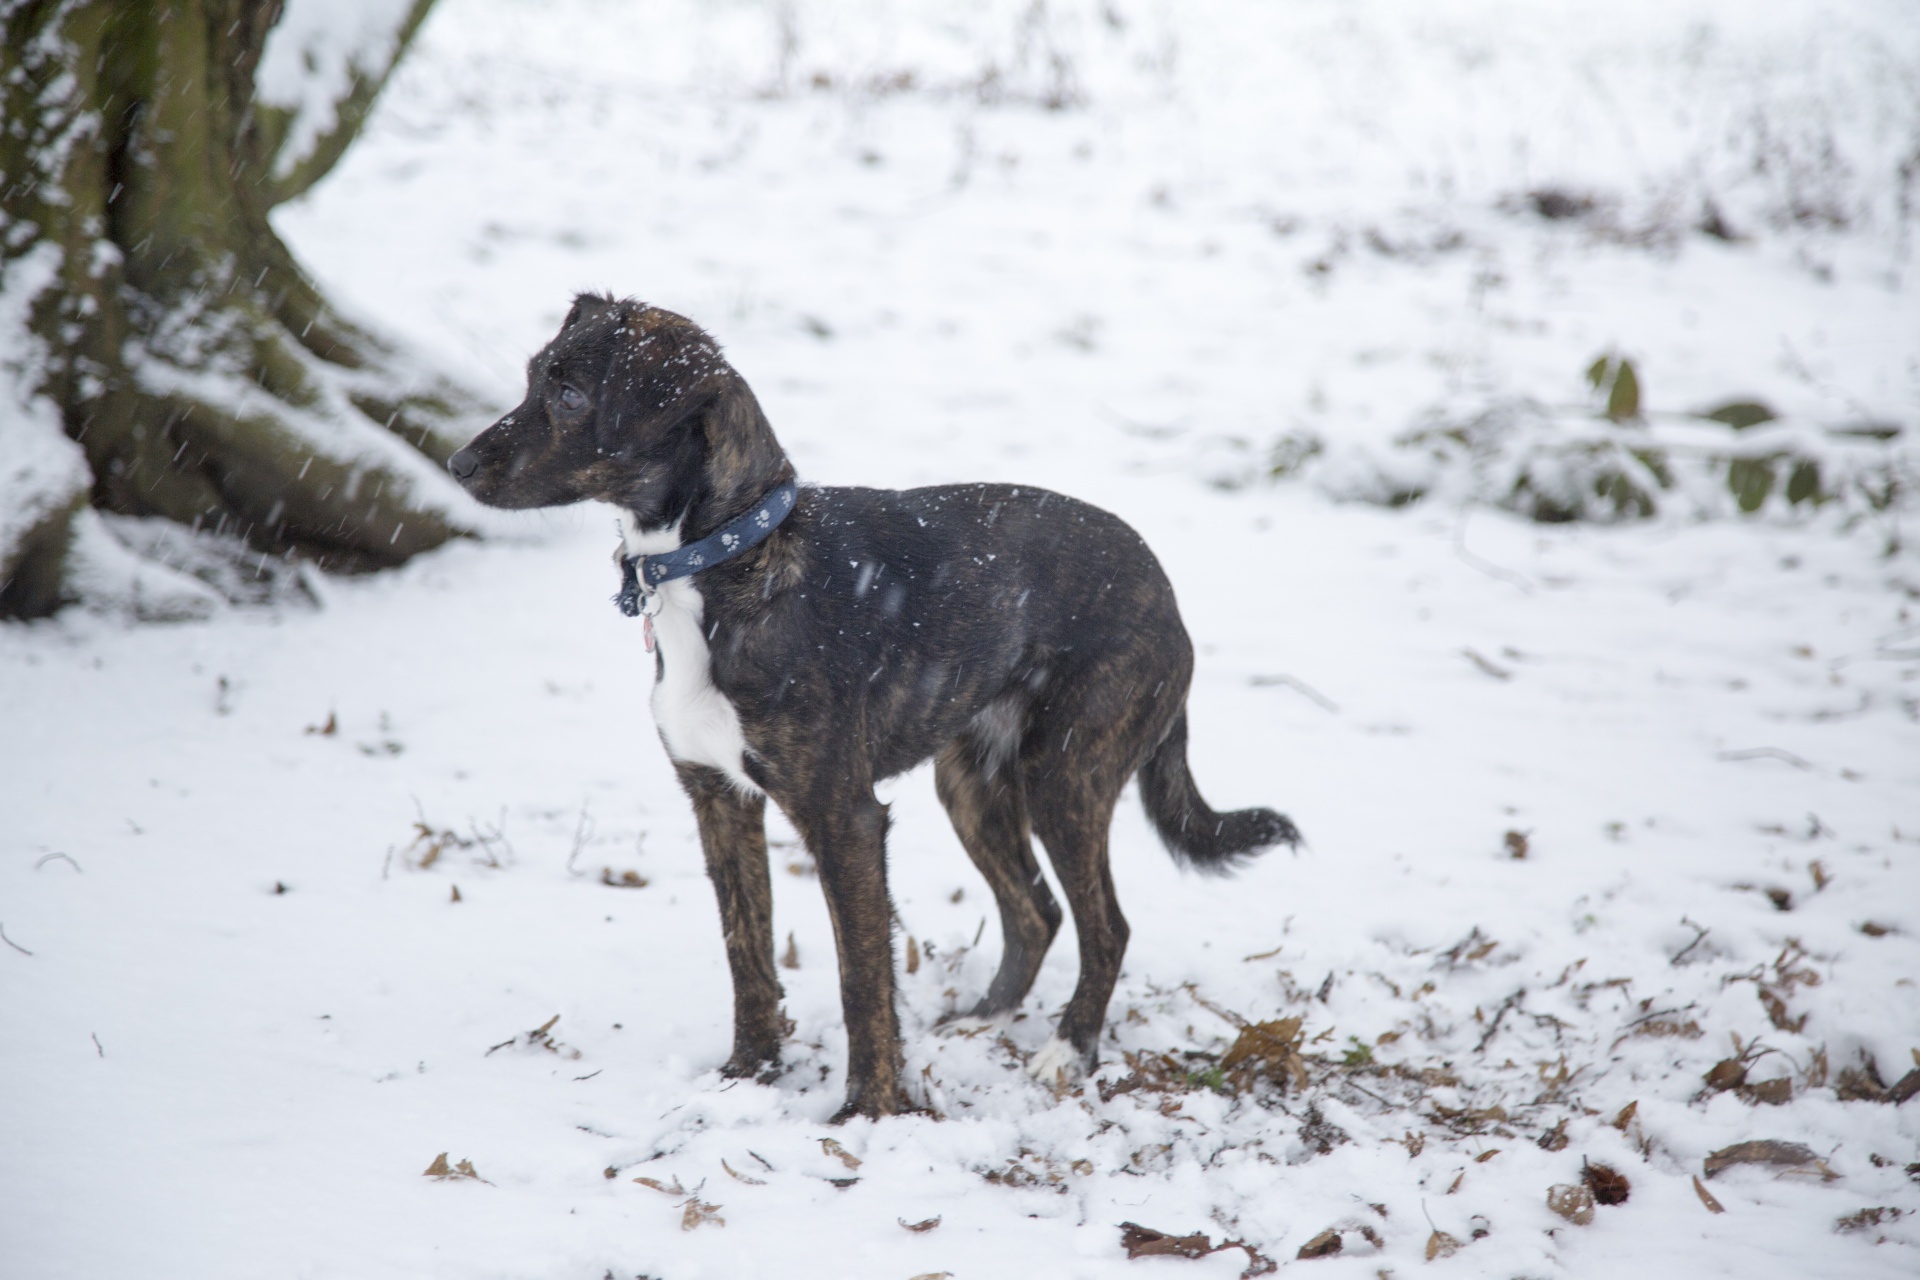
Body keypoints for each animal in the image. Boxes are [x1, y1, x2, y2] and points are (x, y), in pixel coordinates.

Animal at [443, 295, 1297, 1113]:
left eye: (570, 394)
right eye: (533, 377)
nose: (455, 463)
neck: (728, 559)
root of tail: (1164, 586)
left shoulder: (843, 816)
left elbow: (861, 979)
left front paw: (869, 1110)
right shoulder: (718, 797)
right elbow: (747, 953)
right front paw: (748, 1077)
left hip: (1066, 774)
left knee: (1106, 925)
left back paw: (1067, 1051)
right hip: (971, 783)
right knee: (1036, 911)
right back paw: (983, 1021)